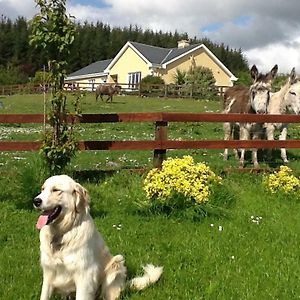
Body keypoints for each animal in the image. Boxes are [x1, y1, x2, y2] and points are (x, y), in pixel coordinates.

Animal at [32, 175, 163, 298]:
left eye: (56, 190)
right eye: (42, 189)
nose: (36, 201)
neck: (62, 233)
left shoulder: (85, 275)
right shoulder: (49, 273)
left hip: (116, 264)